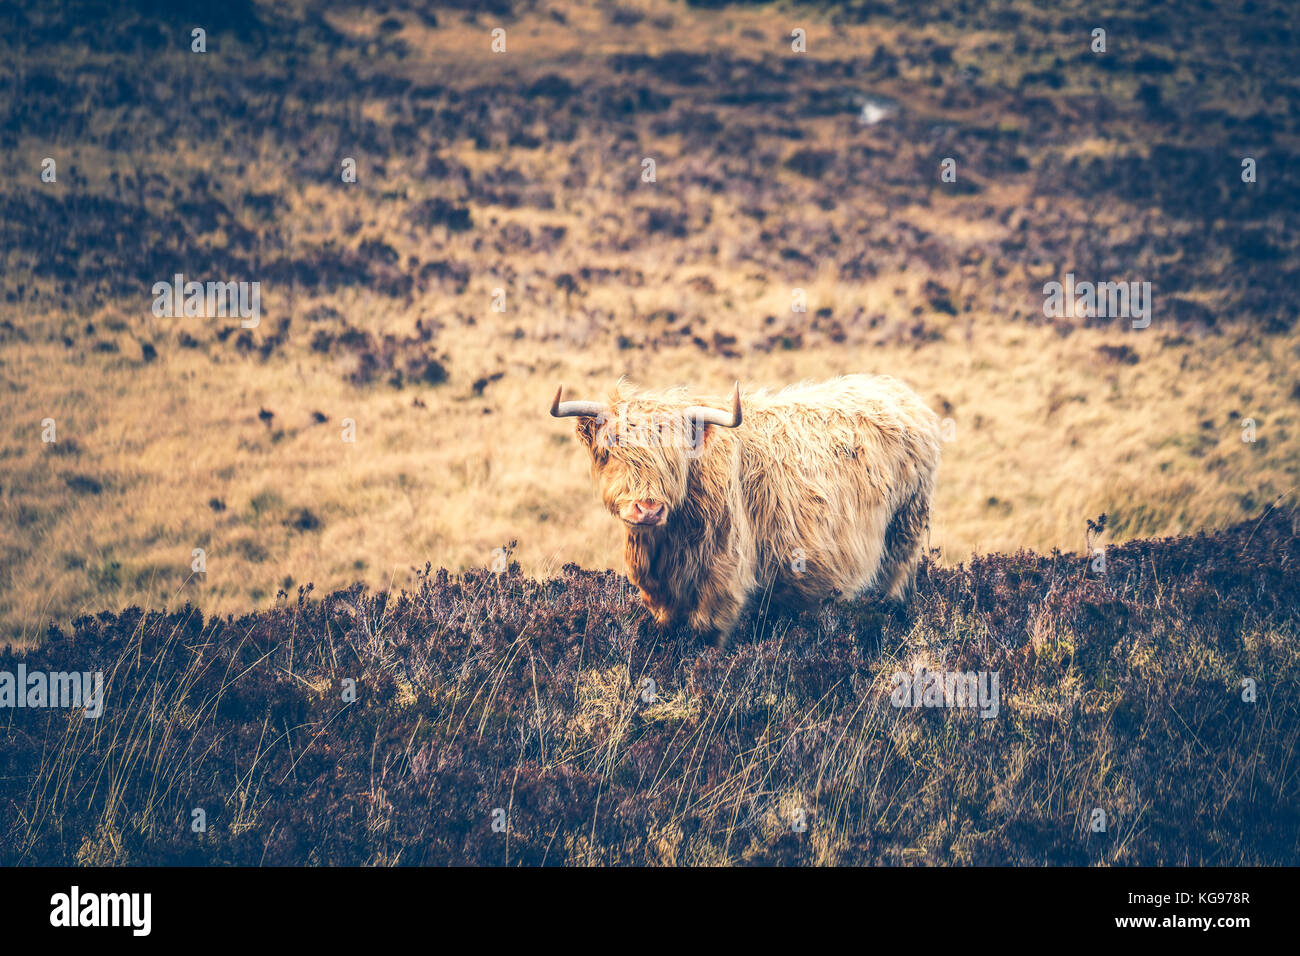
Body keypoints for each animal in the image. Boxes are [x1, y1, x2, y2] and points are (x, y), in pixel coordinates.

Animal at [551, 375, 941, 641]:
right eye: (612, 450)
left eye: (675, 458)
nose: (647, 509)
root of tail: (900, 393)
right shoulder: (664, 599)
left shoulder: (723, 590)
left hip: (905, 529)